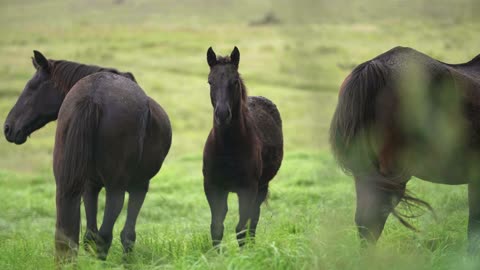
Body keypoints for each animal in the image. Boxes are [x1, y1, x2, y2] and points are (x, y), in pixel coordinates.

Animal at [3, 50, 172, 262]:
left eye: (32, 87)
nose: (8, 128)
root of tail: (93, 96)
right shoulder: (139, 186)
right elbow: (127, 235)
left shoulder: (90, 186)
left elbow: (91, 235)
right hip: (115, 188)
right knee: (105, 235)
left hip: (69, 183)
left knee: (74, 234)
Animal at [202, 47, 284, 247]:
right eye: (210, 81)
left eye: (234, 82)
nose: (222, 114)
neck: (227, 148)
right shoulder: (213, 187)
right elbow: (216, 228)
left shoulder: (248, 189)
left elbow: (241, 228)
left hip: (262, 187)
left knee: (253, 221)